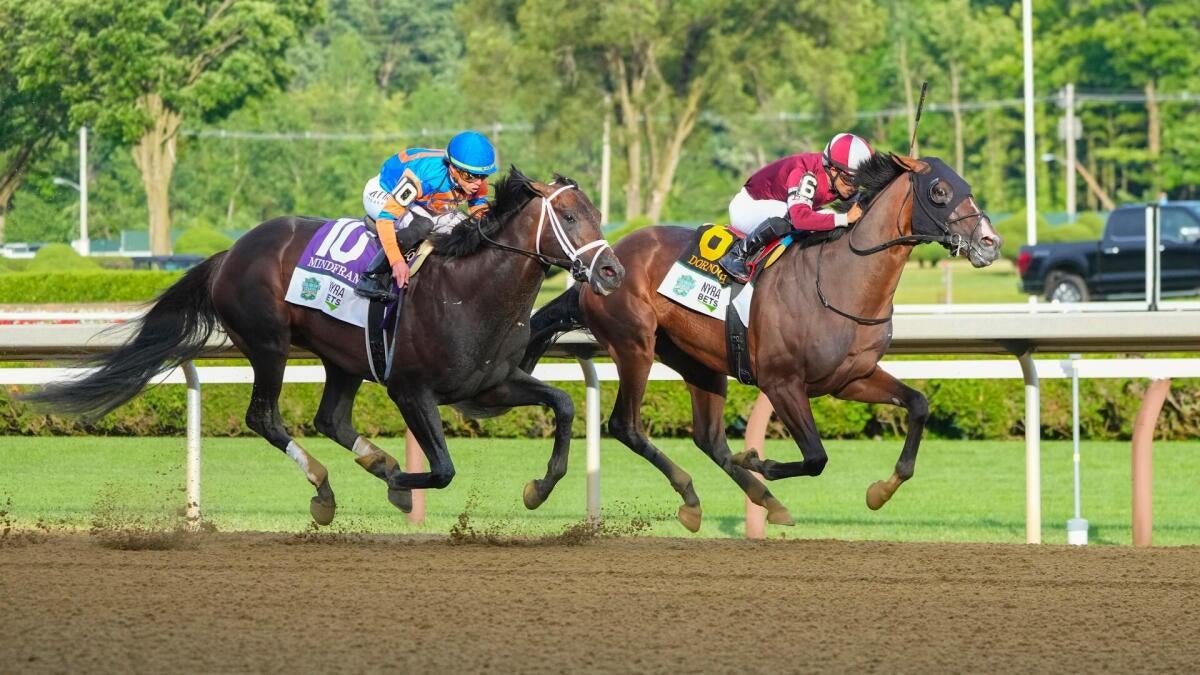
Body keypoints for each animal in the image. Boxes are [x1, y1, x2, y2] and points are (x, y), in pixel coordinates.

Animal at [22, 167, 624, 525]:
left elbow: (564, 405)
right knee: (265, 417)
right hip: (268, 344)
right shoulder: (411, 389)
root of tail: (230, 252)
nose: (612, 271)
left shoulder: (490, 385)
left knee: (330, 418)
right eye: (570, 215)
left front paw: (538, 488)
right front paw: (404, 482)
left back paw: (373, 462)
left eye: (597, 214)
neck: (470, 288)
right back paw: (326, 487)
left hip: (342, 358)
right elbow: (444, 469)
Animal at [523, 153, 1002, 532]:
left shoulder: (852, 378)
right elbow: (816, 458)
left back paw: (747, 501)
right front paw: (758, 460)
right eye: (939, 191)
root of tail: (599, 265)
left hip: (699, 361)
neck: (840, 279)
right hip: (634, 345)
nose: (990, 242)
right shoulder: (782, 382)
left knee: (709, 438)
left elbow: (918, 404)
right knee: (626, 425)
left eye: (967, 187)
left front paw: (880, 491)